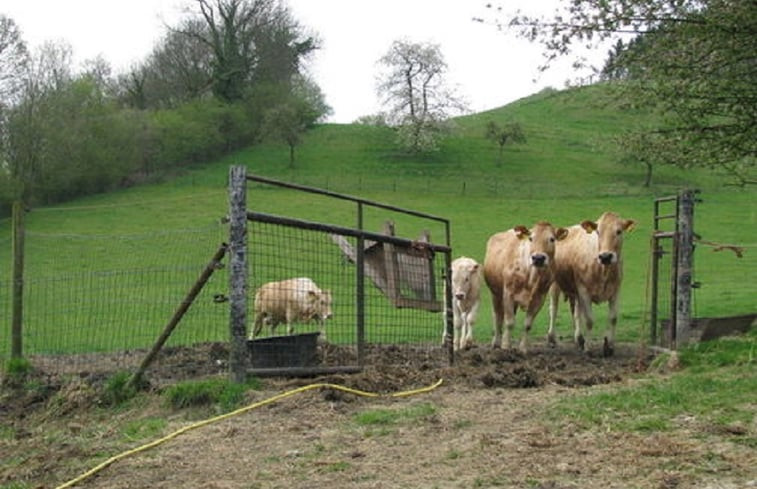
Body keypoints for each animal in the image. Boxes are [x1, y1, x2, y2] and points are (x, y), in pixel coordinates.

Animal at [484, 221, 568, 350]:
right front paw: (505, 345)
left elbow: (527, 324)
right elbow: (509, 322)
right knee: (498, 317)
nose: (538, 258)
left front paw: (523, 348)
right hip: (495, 293)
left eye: (552, 239)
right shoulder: (508, 293)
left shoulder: (539, 298)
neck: (531, 276)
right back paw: (496, 342)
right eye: (531, 238)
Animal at [548, 212, 636, 356]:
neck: (603, 270)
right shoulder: (584, 290)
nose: (605, 256)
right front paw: (588, 349)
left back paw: (579, 339)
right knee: (554, 309)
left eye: (619, 231)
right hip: (555, 284)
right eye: (598, 232)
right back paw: (552, 338)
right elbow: (589, 320)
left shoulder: (616, 290)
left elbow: (613, 318)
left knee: (576, 312)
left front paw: (609, 347)